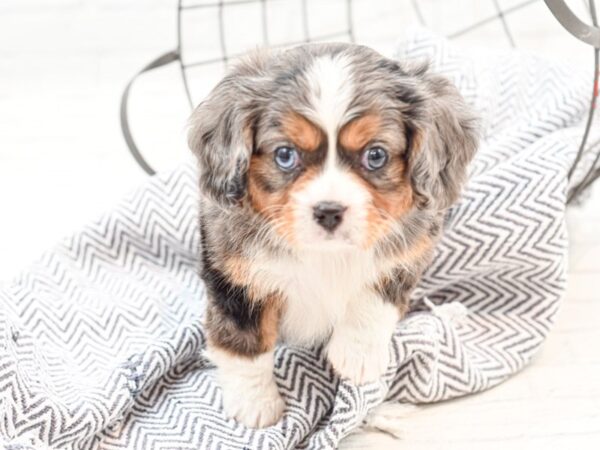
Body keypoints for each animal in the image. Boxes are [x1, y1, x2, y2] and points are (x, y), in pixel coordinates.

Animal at [188, 43, 478, 428]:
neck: (326, 253)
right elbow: (244, 343)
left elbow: (375, 297)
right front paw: (254, 402)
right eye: (285, 155)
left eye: (375, 155)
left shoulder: (408, 252)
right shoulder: (235, 277)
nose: (328, 211)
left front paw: (357, 356)